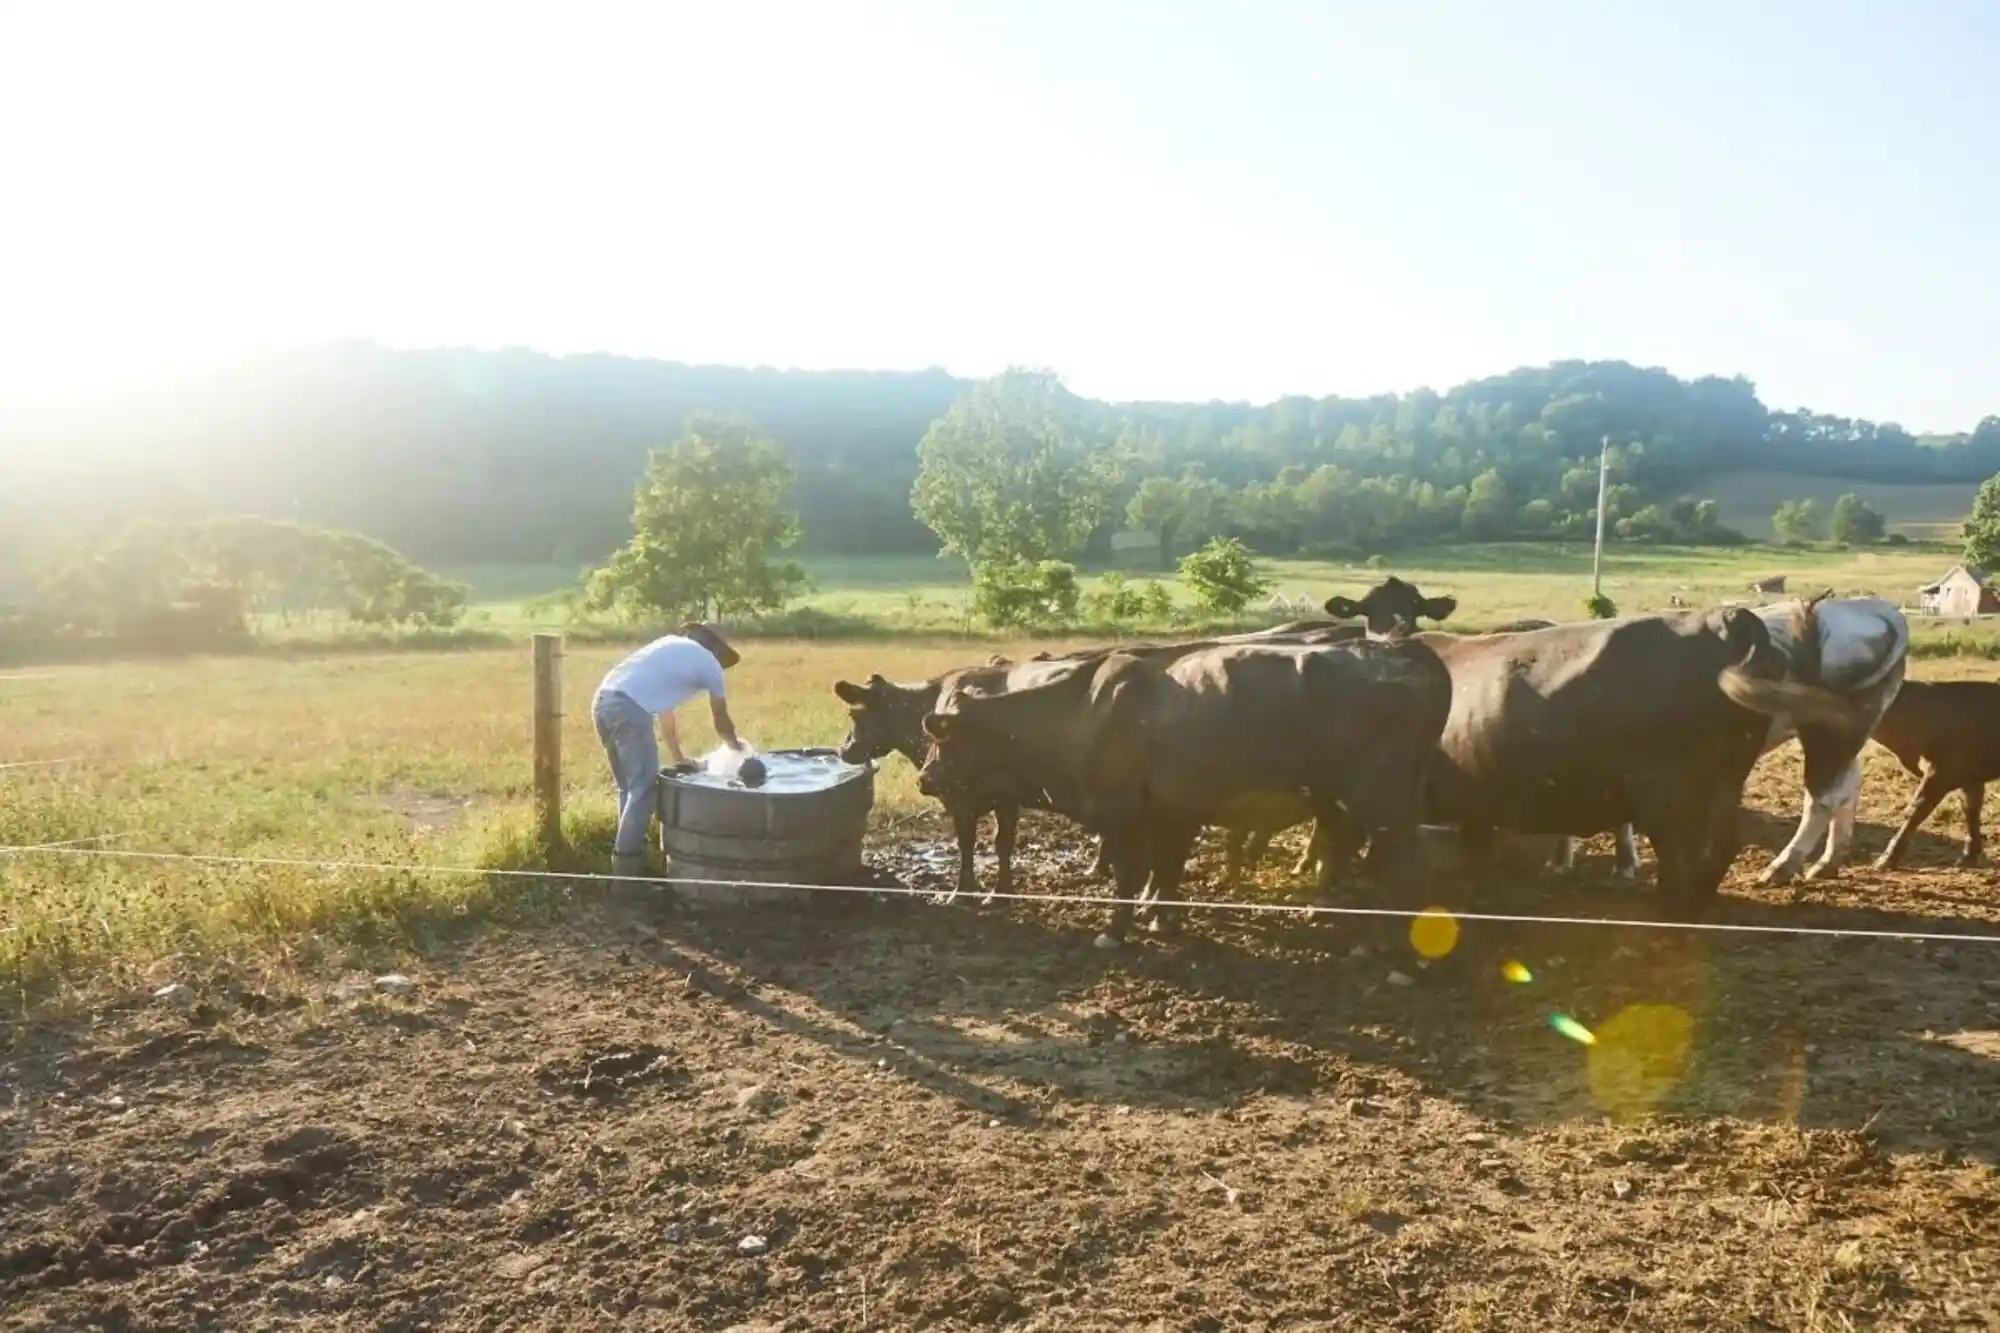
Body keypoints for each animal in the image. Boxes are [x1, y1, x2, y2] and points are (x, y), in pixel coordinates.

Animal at [916, 636, 1448, 940]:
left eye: (940, 740)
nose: (924, 778)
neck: (1082, 712)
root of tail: (1402, 657)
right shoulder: (1170, 809)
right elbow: (1165, 870)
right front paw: (1163, 919)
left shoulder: (1123, 813)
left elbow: (1131, 875)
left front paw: (1117, 930)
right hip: (1350, 800)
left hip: (1383, 799)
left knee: (1410, 866)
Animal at [1856, 680, 2000, 868]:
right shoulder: (1969, 778)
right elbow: (1971, 811)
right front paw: (1968, 857)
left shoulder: (1941, 771)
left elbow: (1915, 810)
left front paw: (1885, 860)